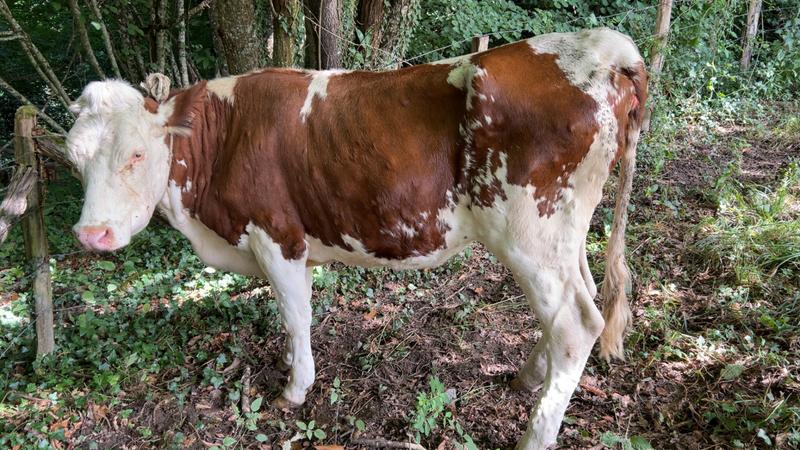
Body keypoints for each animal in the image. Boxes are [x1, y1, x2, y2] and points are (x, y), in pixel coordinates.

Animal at [65, 28, 646, 449]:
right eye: (75, 158)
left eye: (136, 154)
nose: (92, 235)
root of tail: (601, 46)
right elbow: (293, 314)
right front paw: (289, 365)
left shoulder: (277, 237)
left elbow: (295, 315)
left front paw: (295, 389)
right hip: (565, 235)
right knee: (582, 299)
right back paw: (529, 376)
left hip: (530, 233)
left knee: (575, 323)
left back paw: (534, 435)